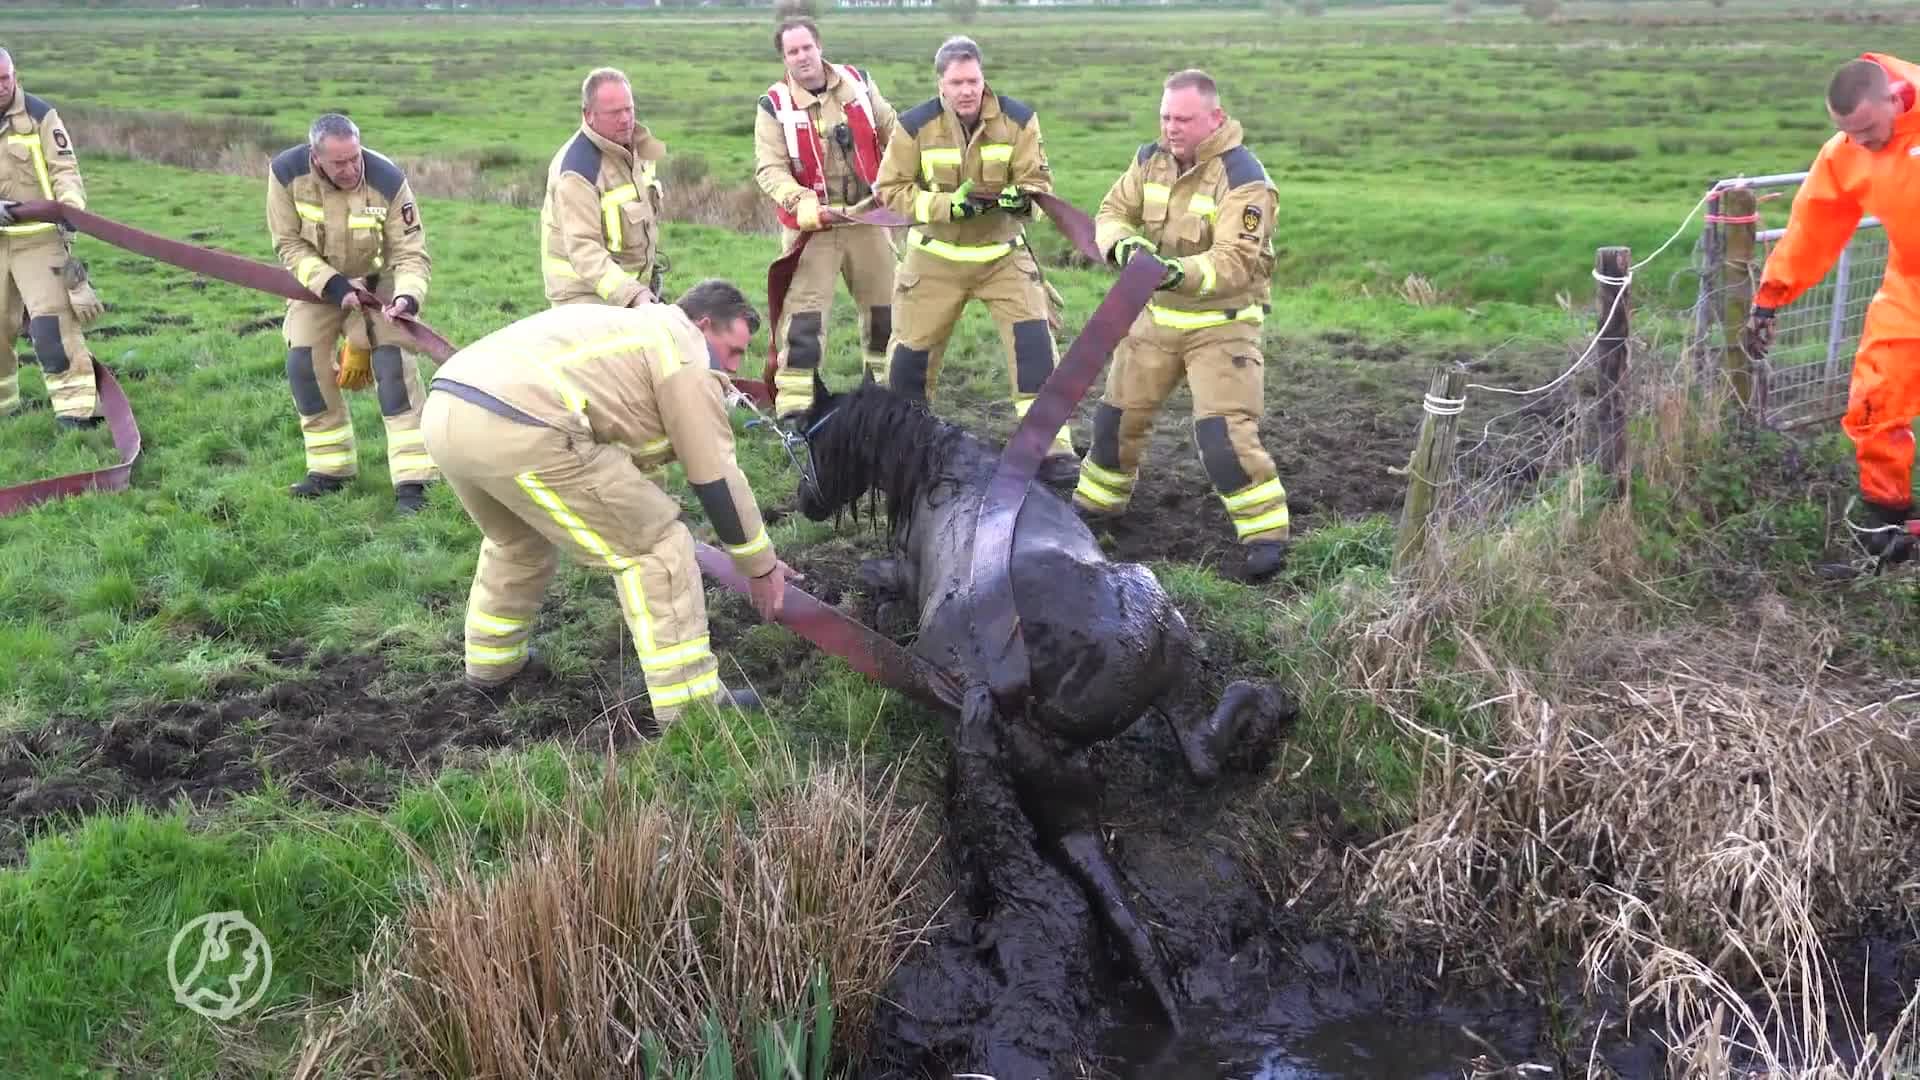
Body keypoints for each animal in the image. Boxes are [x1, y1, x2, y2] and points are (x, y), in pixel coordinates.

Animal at [790, 371, 1296, 1074]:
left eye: (813, 439)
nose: (802, 502)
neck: (946, 470)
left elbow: (875, 578)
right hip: (1154, 636)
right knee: (1199, 755)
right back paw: (1268, 707)